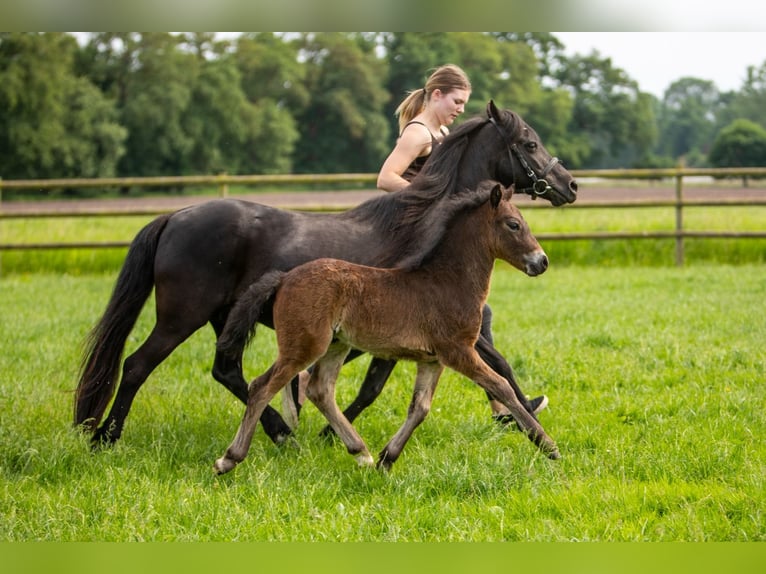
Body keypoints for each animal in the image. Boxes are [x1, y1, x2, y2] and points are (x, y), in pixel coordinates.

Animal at [75, 101, 580, 448]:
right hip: (181, 316)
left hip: (223, 317)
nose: (570, 185)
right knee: (137, 364)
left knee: (227, 370)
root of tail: (174, 217)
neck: (424, 226)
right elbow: (388, 382)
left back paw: (279, 432)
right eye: (530, 143)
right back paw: (105, 437)